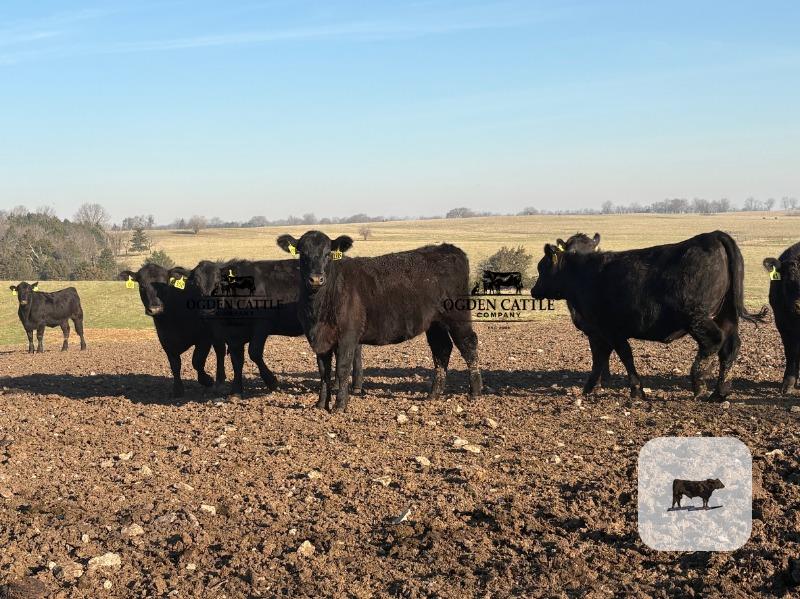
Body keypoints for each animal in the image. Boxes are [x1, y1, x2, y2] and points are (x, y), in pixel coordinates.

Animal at [118, 264, 225, 398]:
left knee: (220, 351)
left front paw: (207, 380)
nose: (155, 309)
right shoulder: (166, 341)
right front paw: (178, 389)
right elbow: (175, 364)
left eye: (164, 285)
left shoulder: (204, 338)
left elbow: (197, 361)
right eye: (142, 286)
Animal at [171, 259, 364, 399]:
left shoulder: (262, 325)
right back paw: (348, 385)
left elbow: (254, 353)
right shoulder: (233, 335)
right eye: (194, 285)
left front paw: (272, 381)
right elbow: (237, 360)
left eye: (219, 283)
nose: (206, 310)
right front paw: (236, 390)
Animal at [277, 231, 482, 413]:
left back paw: (475, 392)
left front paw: (339, 406)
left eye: (328, 253)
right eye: (303, 253)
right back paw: (434, 395)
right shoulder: (319, 339)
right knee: (442, 349)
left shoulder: (348, 336)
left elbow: (342, 369)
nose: (316, 279)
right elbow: (323, 371)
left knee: (468, 345)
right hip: (435, 323)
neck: (319, 307)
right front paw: (320, 405)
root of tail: (449, 248)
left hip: (458, 316)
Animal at [531, 231, 767, 401]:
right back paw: (719, 392)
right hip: (725, 316)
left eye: (542, 266)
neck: (583, 273)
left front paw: (636, 390)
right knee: (730, 348)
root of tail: (715, 235)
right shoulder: (598, 333)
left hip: (697, 318)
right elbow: (600, 359)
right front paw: (591, 388)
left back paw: (698, 384)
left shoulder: (610, 330)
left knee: (714, 341)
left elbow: (623, 356)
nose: (534, 290)